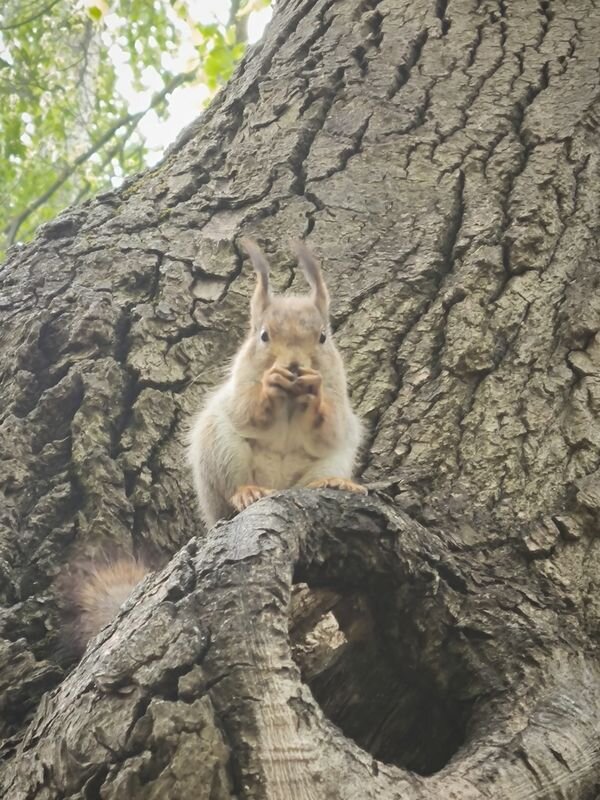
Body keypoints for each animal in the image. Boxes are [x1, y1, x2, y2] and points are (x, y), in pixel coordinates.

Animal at [63, 236, 368, 648]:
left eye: (322, 337)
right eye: (263, 335)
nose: (293, 366)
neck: (291, 402)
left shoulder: (339, 401)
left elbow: (330, 426)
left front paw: (312, 388)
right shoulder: (238, 390)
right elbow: (248, 410)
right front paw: (271, 385)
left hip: (330, 461)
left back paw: (334, 483)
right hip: (221, 450)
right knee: (233, 489)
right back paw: (247, 493)